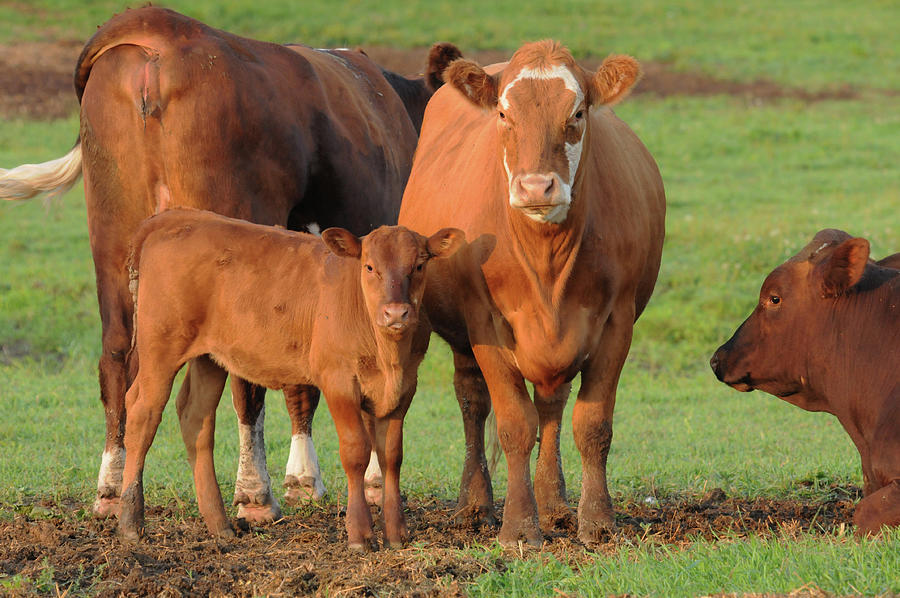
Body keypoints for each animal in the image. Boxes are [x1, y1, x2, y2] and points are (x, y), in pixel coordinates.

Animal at [0, 5, 460, 520]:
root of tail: (165, 29)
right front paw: (351, 480)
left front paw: (304, 477)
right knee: (241, 377)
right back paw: (254, 493)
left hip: (113, 235)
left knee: (116, 355)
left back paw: (111, 488)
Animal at [119, 209, 464, 552]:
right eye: (369, 266)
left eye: (419, 265)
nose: (395, 313)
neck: (389, 357)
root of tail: (176, 218)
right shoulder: (338, 380)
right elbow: (356, 451)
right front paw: (360, 534)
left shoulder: (405, 387)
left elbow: (391, 455)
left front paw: (396, 533)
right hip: (160, 348)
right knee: (141, 412)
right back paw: (131, 522)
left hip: (209, 357)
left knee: (196, 417)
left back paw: (219, 525)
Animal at [398, 41, 664, 548]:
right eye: (504, 114)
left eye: (577, 112)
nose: (536, 186)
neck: (547, 260)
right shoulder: (484, 322)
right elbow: (514, 424)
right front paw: (519, 527)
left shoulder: (617, 322)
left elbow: (591, 424)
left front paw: (596, 520)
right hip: (462, 338)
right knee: (472, 402)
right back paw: (474, 504)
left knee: (551, 406)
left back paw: (554, 502)